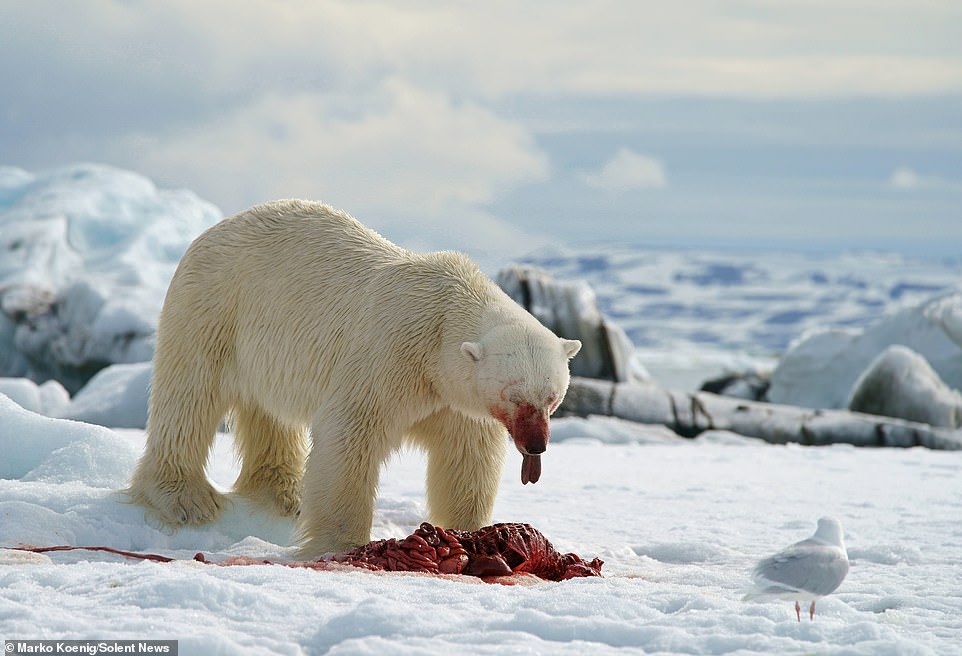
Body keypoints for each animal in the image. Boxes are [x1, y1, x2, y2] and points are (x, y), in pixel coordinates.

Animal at [126, 201, 576, 560]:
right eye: (514, 395)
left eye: (552, 398)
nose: (536, 445)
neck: (444, 318)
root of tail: (215, 227)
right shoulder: (392, 352)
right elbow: (350, 432)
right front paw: (340, 545)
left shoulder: (453, 397)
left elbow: (466, 456)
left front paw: (469, 531)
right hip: (214, 306)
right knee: (189, 393)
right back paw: (185, 499)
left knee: (269, 412)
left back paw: (285, 493)